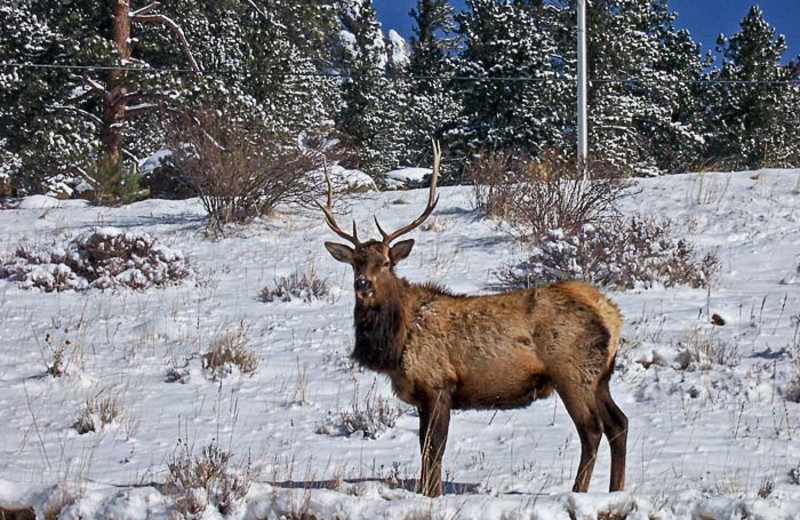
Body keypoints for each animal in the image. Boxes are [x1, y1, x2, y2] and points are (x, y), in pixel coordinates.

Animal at [318, 141, 624, 496]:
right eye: (355, 262)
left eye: (386, 262)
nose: (363, 284)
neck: (394, 344)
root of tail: (612, 313)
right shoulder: (422, 396)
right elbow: (424, 448)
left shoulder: (439, 384)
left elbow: (434, 448)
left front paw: (432, 494)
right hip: (600, 376)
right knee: (619, 423)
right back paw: (617, 489)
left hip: (573, 372)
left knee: (592, 429)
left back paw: (579, 491)